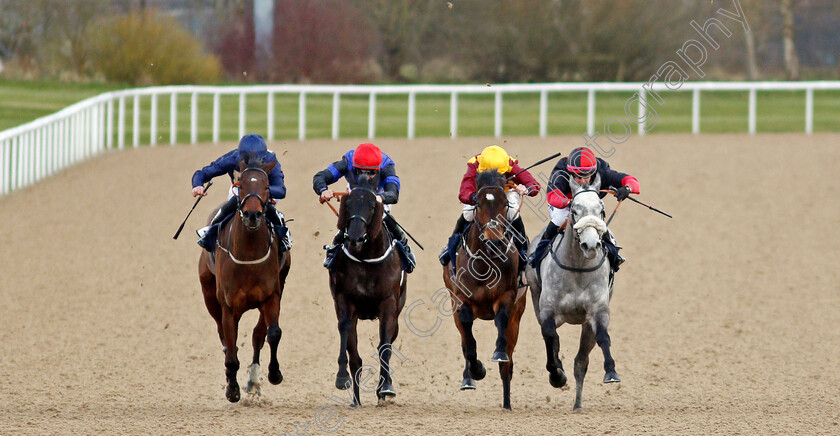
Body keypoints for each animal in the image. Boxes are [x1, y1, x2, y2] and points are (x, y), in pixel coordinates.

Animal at [198, 155, 292, 404]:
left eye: (267, 186)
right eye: (240, 186)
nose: (252, 215)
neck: (248, 254)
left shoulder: (271, 296)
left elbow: (272, 333)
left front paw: (274, 373)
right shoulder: (228, 306)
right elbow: (230, 346)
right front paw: (232, 389)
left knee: (258, 335)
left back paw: (253, 380)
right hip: (209, 295)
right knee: (223, 336)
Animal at [328, 175, 406, 408]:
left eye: (372, 206)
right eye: (348, 204)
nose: (354, 237)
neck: (366, 258)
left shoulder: (389, 303)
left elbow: (384, 347)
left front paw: (386, 388)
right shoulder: (344, 301)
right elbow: (346, 334)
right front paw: (341, 378)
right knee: (356, 357)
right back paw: (356, 400)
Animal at [440, 169, 524, 408]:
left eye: (505, 202)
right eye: (478, 203)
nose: (494, 242)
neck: (485, 263)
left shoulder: (507, 297)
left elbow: (501, 321)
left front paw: (498, 352)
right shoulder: (460, 299)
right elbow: (468, 340)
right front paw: (476, 371)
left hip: (518, 315)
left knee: (508, 364)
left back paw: (507, 403)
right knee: (464, 340)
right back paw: (468, 378)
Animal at [520, 172, 620, 410]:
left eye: (601, 210)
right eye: (574, 209)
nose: (591, 245)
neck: (578, 268)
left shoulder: (598, 312)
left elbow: (603, 338)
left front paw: (611, 372)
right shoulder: (547, 311)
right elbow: (550, 337)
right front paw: (557, 375)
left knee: (581, 361)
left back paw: (577, 404)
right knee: (552, 340)